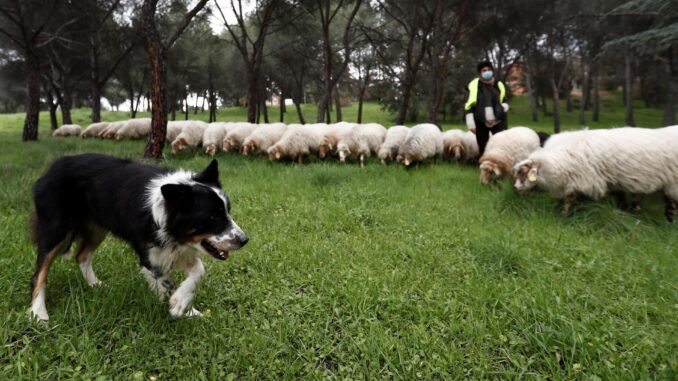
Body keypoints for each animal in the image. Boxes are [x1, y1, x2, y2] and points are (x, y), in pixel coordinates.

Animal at [31, 153, 250, 320]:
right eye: (211, 217)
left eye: (227, 211)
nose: (244, 240)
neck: (165, 210)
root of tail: (51, 168)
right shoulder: (151, 253)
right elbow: (166, 281)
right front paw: (180, 306)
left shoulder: (172, 248)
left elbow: (199, 270)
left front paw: (184, 305)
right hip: (56, 227)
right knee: (40, 272)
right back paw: (38, 314)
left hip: (98, 227)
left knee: (82, 256)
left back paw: (96, 285)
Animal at [516, 125, 678, 218]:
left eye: (524, 173)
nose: (515, 188)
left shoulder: (583, 180)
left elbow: (570, 200)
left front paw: (564, 215)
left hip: (673, 183)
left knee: (671, 205)